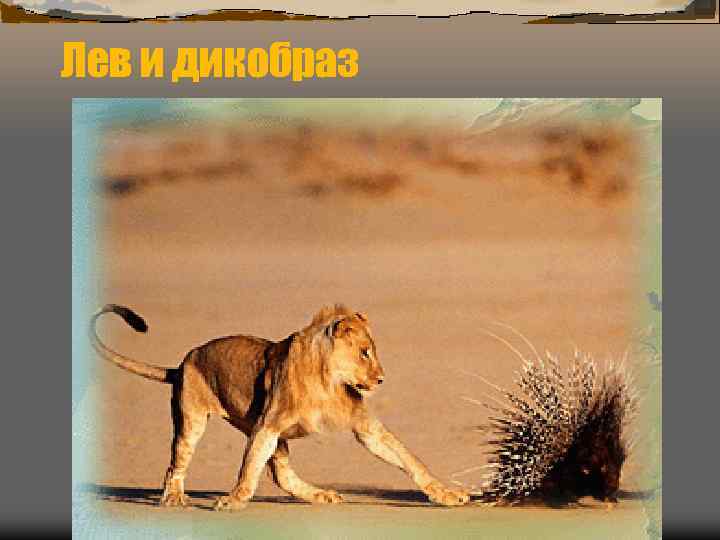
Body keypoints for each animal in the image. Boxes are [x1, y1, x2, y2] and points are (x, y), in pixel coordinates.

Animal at [90, 303, 470, 510]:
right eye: (365, 352)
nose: (381, 379)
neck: (327, 381)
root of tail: (183, 363)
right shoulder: (267, 426)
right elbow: (247, 471)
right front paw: (233, 500)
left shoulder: (364, 426)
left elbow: (410, 460)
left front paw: (448, 494)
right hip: (193, 419)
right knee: (176, 464)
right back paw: (173, 497)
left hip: (271, 436)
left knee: (283, 475)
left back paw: (321, 495)